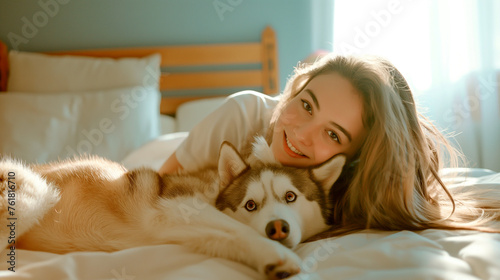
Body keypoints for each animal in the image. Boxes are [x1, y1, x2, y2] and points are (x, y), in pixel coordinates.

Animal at [0, 137, 344, 278]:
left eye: (291, 197)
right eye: (250, 204)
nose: (277, 229)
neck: (211, 191)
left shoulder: (185, 230)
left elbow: (231, 238)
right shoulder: (176, 207)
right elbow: (239, 230)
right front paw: (278, 256)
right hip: (35, 194)